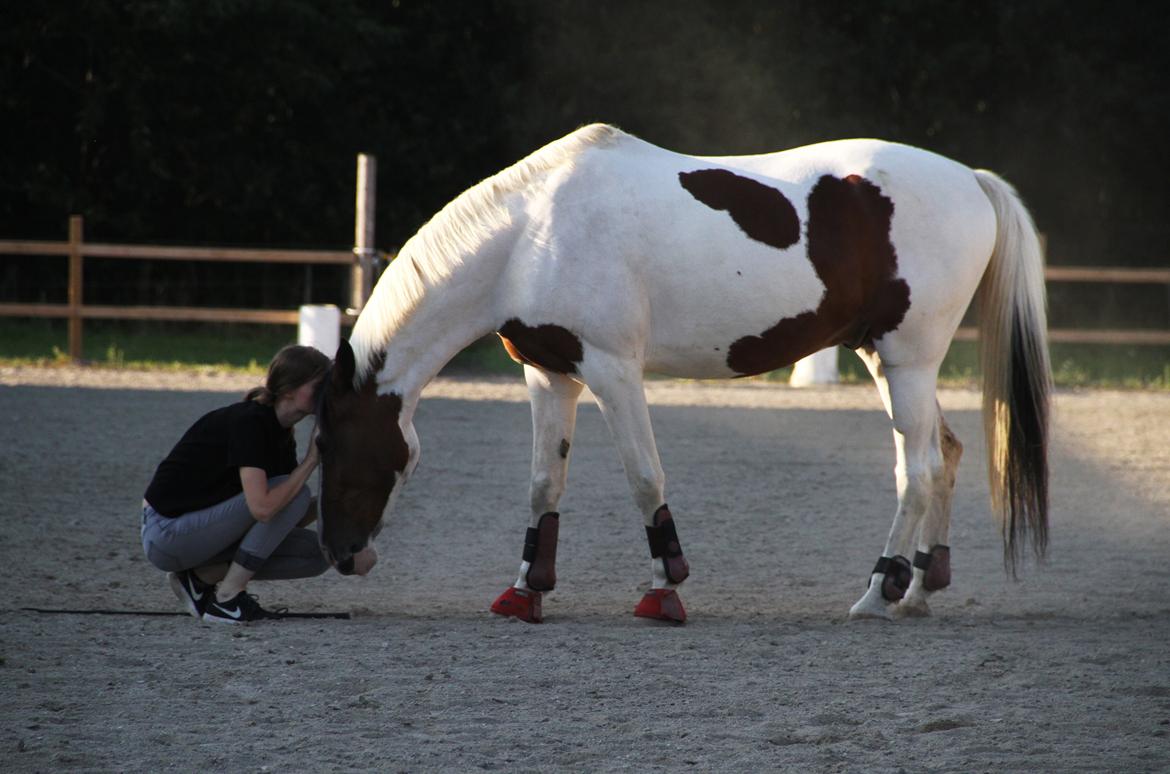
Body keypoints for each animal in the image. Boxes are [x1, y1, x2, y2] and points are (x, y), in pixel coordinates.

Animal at [313, 125, 1053, 626]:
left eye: (325, 442)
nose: (341, 554)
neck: (532, 236)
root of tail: (970, 178)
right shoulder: (551, 374)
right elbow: (543, 483)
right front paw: (525, 592)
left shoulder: (613, 370)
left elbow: (645, 477)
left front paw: (664, 589)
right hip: (885, 359)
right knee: (938, 457)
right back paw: (918, 588)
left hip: (909, 360)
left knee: (920, 469)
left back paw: (877, 591)